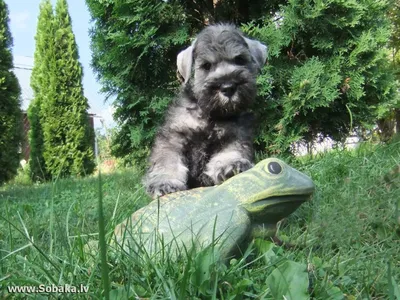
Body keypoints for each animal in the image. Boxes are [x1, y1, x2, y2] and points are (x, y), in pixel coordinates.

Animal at [144, 23, 266, 197]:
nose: (228, 87)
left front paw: (231, 165)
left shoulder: (236, 134)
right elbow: (168, 159)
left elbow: (231, 151)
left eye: (239, 60)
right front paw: (165, 182)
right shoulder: (174, 135)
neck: (211, 114)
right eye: (206, 66)